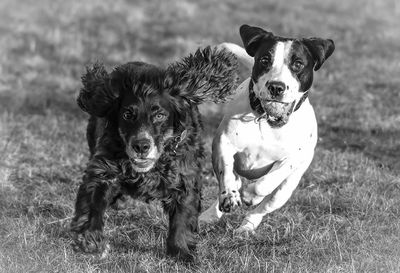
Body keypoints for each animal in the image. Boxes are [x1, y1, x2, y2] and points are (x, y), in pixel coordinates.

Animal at [69, 46, 238, 260]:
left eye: (160, 115)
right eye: (127, 115)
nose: (141, 146)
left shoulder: (186, 177)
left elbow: (182, 219)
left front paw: (181, 252)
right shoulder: (103, 170)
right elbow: (93, 202)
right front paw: (90, 240)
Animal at [200, 24, 334, 233]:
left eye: (298, 64)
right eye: (265, 60)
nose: (276, 87)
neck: (267, 120)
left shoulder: (291, 160)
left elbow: (264, 185)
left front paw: (250, 195)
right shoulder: (223, 142)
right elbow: (227, 171)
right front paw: (230, 194)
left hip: (287, 188)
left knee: (265, 206)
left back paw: (246, 227)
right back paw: (211, 214)